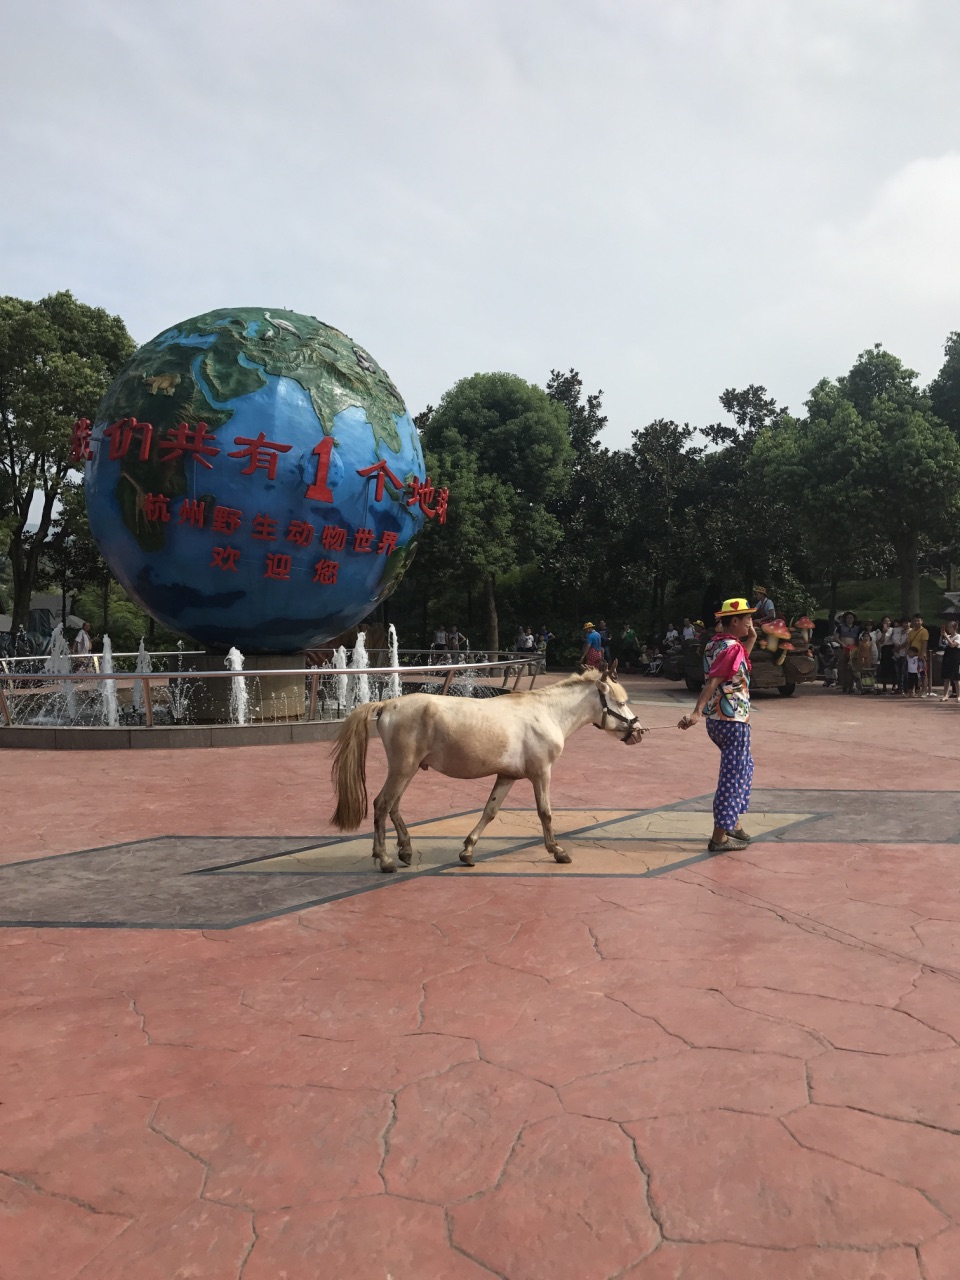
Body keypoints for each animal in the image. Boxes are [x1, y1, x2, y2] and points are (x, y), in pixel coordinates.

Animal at [332, 665, 647, 875]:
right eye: (620, 702)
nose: (639, 732)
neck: (546, 712)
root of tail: (388, 703)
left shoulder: (507, 776)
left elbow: (490, 811)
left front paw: (468, 851)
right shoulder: (541, 773)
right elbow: (545, 813)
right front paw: (557, 851)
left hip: (407, 770)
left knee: (394, 807)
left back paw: (405, 850)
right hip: (402, 769)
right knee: (382, 805)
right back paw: (385, 859)